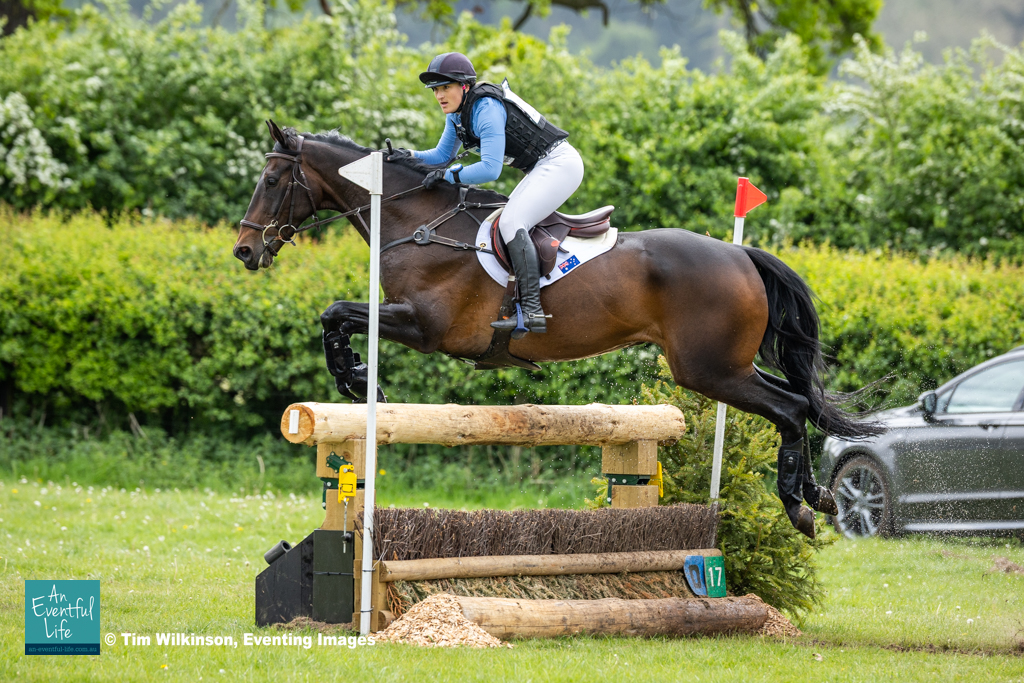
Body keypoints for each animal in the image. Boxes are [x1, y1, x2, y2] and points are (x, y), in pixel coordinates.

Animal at [233, 120, 882, 538]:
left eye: (271, 181)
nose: (244, 251)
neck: (417, 225)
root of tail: (741, 255)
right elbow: (336, 314)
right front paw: (356, 376)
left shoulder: (426, 326)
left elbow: (337, 312)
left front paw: (354, 377)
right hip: (723, 366)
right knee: (796, 401)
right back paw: (818, 497)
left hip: (710, 369)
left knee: (791, 407)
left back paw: (800, 508)